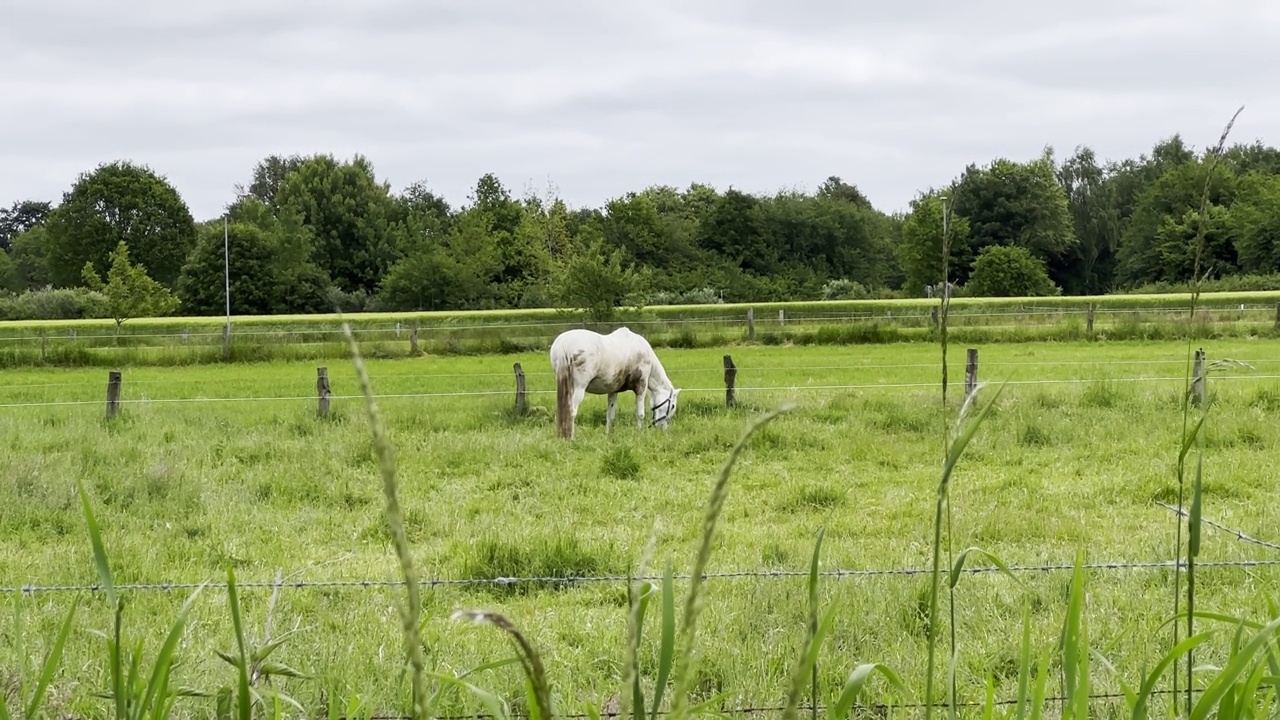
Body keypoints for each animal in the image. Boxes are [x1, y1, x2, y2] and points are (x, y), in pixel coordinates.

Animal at [552, 326, 686, 438]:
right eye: (672, 406)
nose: (663, 428)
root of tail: (565, 344)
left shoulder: (613, 391)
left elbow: (610, 415)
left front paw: (608, 435)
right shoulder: (641, 386)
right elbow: (640, 414)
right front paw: (639, 433)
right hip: (578, 388)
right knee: (571, 412)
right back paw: (571, 438)